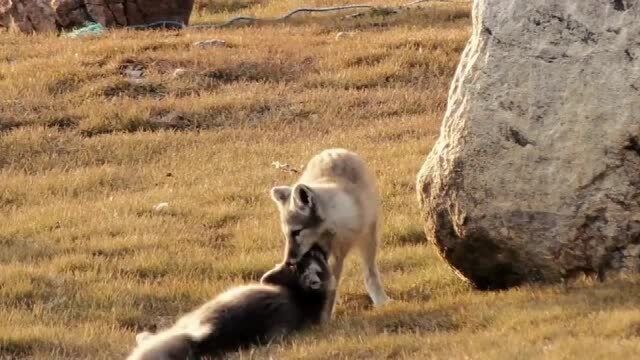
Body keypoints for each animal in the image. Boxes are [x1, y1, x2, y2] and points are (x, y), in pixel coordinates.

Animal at [126, 245, 336, 360]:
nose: (316, 248)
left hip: (197, 316)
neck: (302, 297)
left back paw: (144, 336)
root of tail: (210, 336)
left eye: (315, 257)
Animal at [270, 146, 390, 318]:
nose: (288, 262)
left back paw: (380, 300)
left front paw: (325, 316)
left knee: (370, 274)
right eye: (286, 234)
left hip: (369, 238)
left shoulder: (338, 255)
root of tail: (335, 150)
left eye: (297, 232)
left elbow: (333, 287)